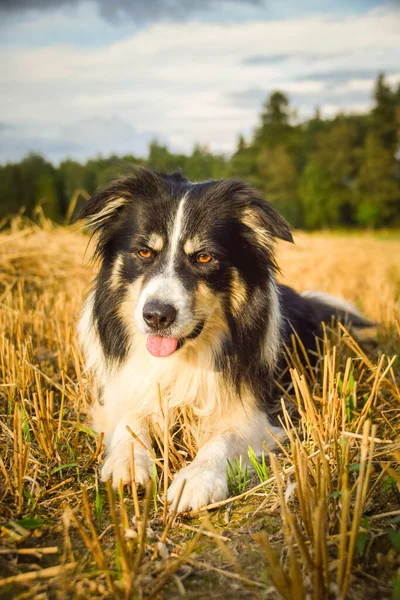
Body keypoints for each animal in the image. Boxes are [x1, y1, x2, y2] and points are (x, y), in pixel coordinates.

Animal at [76, 168, 370, 510]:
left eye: (204, 257)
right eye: (144, 252)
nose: (156, 316)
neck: (186, 354)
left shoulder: (259, 414)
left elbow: (223, 439)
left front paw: (195, 480)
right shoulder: (126, 390)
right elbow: (130, 419)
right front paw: (130, 463)